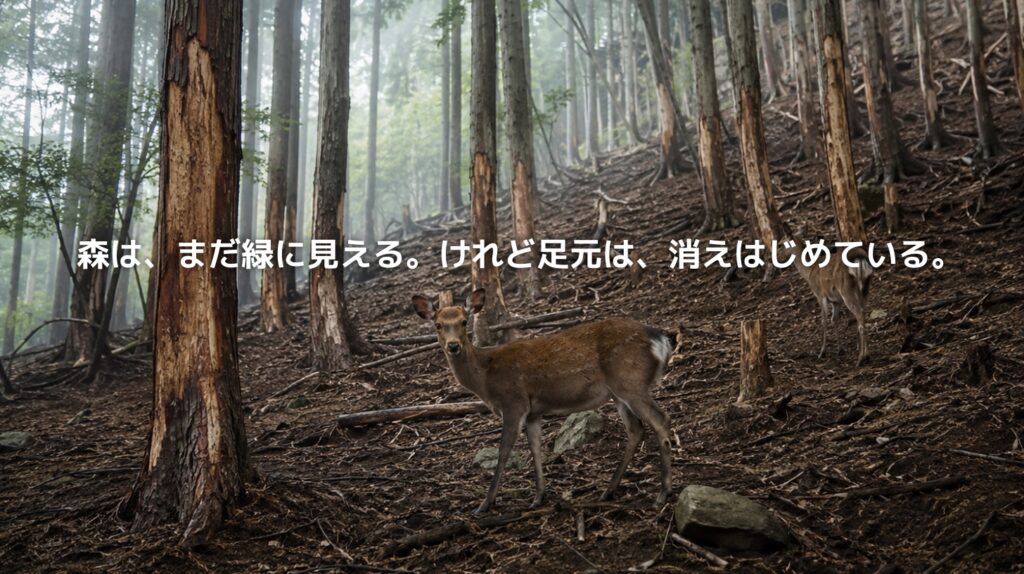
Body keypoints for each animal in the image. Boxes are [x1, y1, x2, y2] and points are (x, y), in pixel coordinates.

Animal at [412, 289, 675, 514]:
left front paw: (485, 504)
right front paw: (539, 497)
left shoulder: (513, 402)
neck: (485, 379)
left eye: (464, 322)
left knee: (661, 419)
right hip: (618, 393)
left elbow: (503, 451)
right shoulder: (533, 413)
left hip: (630, 382)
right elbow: (535, 448)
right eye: (438, 325)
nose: (453, 346)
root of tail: (660, 340)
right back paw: (608, 491)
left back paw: (663, 492)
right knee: (636, 429)